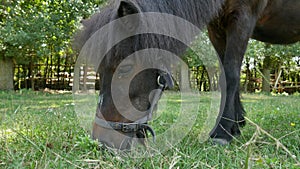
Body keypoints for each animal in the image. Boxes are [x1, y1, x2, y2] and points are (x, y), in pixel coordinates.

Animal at [77, 0, 300, 149]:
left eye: (125, 68)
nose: (102, 141)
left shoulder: (242, 17)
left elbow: (231, 74)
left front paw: (222, 132)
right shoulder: (216, 26)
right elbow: (225, 74)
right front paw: (235, 125)